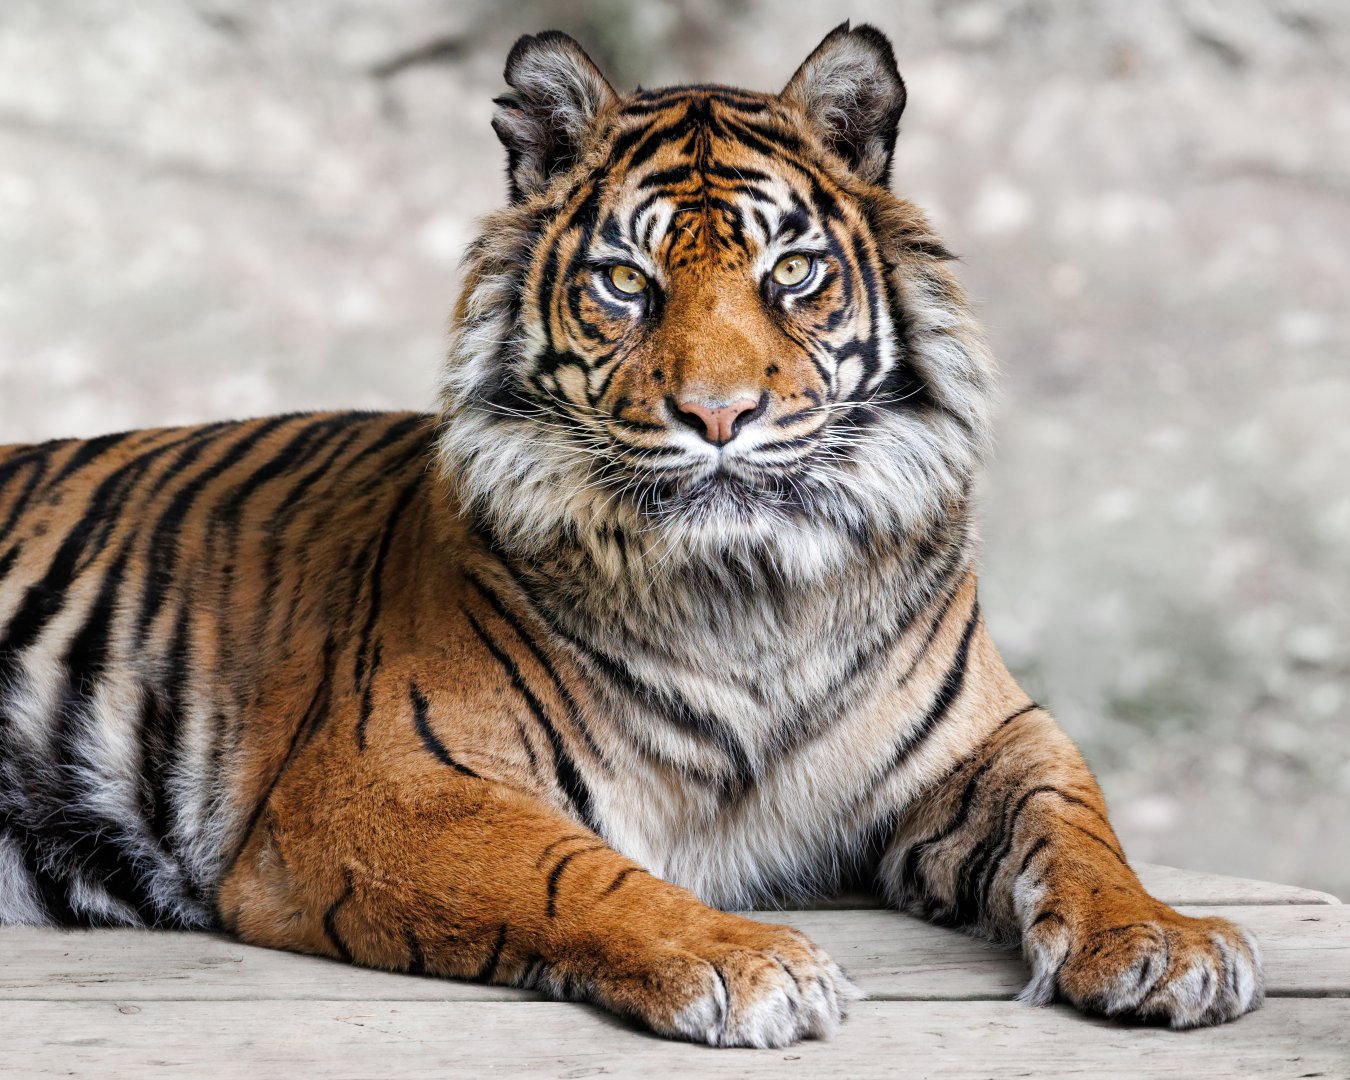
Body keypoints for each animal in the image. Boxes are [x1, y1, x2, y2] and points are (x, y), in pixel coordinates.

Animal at [0, 23, 1262, 1047]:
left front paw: (1165, 941)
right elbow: (571, 870)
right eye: (624, 281)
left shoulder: (991, 741)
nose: (718, 414)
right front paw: (746, 963)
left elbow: (1079, 829)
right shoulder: (379, 783)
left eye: (790, 272)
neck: (752, 593)